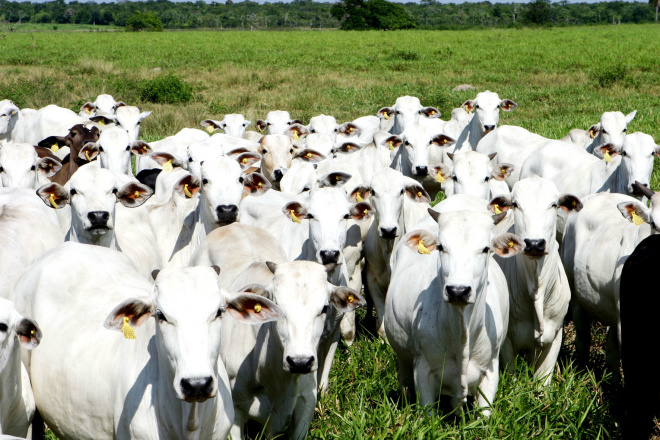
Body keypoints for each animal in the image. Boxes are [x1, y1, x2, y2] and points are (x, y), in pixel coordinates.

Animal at [384, 206, 520, 416]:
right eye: (440, 247)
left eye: (486, 249)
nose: (458, 291)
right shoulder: (423, 370)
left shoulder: (490, 371)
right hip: (403, 357)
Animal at [490, 177, 576, 384]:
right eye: (515, 204)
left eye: (553, 204)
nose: (535, 243)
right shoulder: (506, 341)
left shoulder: (555, 336)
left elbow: (542, 383)